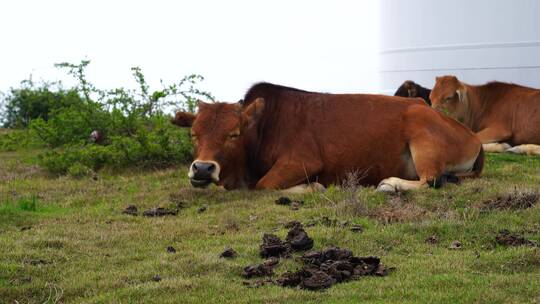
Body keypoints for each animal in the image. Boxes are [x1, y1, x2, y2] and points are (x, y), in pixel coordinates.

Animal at [174, 82, 486, 192]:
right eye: (194, 134)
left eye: (234, 134)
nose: (202, 168)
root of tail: (473, 138)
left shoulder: (303, 161)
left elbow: (264, 185)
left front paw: (312, 187)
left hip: (421, 135)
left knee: (430, 181)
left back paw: (390, 185)